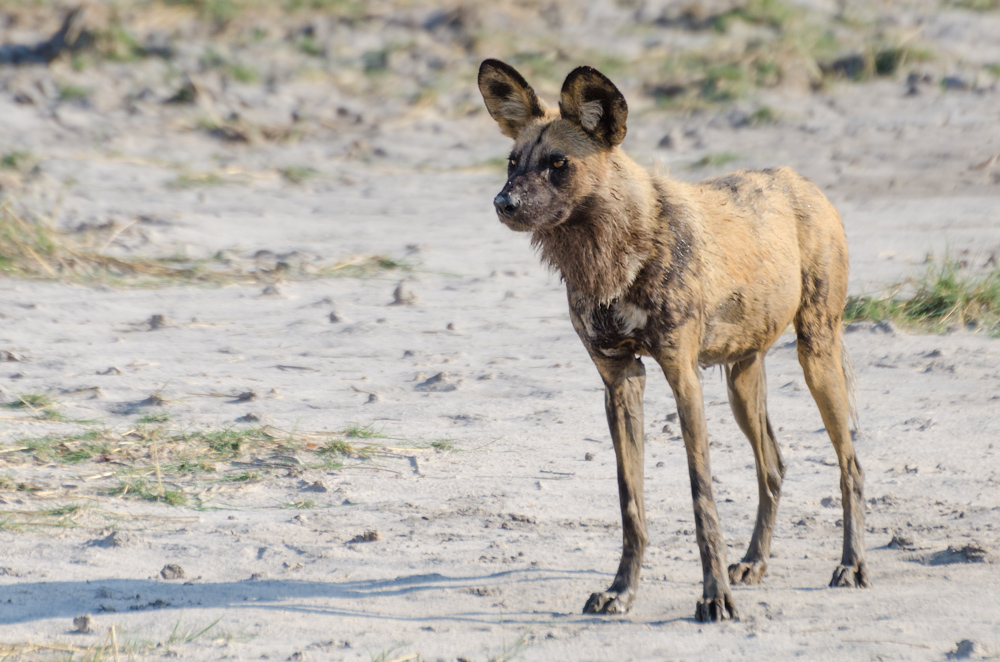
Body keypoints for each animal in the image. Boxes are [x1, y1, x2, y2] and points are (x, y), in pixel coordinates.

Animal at [476, 61, 868, 624]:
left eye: (558, 164)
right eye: (513, 162)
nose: (503, 202)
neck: (617, 251)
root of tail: (800, 180)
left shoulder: (683, 377)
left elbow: (702, 499)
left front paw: (712, 598)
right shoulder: (621, 380)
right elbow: (630, 505)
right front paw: (621, 591)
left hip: (816, 352)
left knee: (849, 464)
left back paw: (852, 565)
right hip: (742, 379)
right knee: (771, 465)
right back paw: (754, 562)